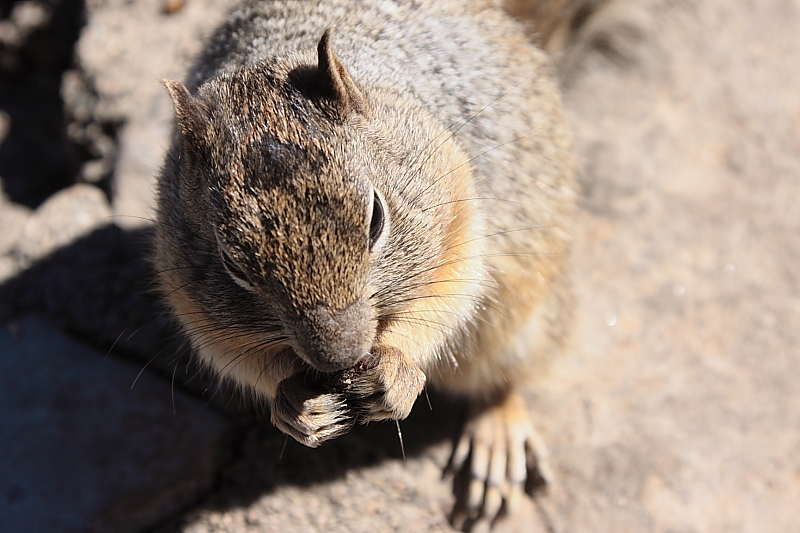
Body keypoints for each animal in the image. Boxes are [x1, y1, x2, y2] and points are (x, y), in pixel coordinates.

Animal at [155, 0, 580, 524]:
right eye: (233, 263)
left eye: (376, 217)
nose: (341, 357)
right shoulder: (198, 309)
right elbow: (247, 361)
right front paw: (295, 407)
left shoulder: (458, 221)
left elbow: (440, 305)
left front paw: (395, 373)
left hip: (522, 311)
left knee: (502, 376)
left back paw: (496, 438)